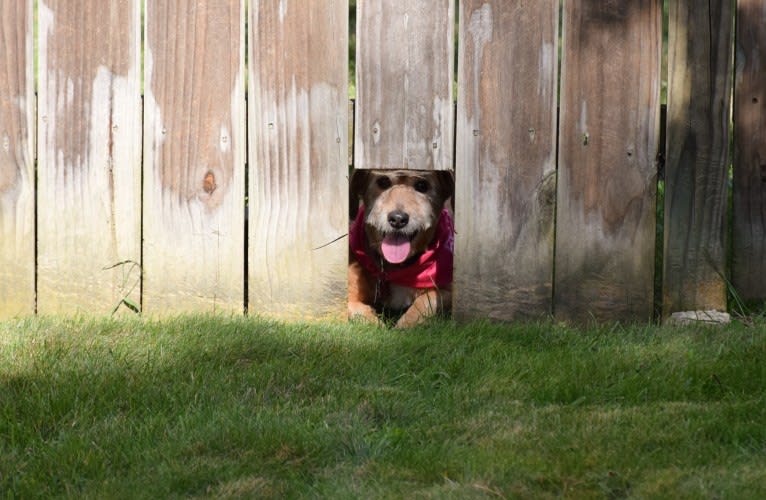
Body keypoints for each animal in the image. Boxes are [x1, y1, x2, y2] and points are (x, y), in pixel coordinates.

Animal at [350, 170, 456, 328]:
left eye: (422, 185)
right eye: (383, 181)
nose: (398, 219)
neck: (396, 268)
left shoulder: (450, 291)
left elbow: (426, 300)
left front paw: (405, 325)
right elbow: (356, 309)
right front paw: (377, 325)